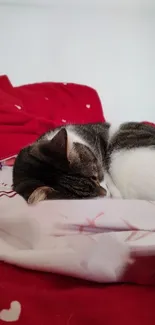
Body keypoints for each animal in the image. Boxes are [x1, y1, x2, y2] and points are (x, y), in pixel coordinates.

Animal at [13, 121, 155, 202]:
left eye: (95, 177)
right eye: (86, 196)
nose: (106, 194)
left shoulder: (103, 166)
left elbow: (108, 179)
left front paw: (116, 194)